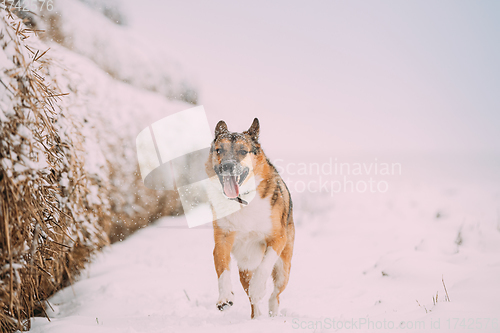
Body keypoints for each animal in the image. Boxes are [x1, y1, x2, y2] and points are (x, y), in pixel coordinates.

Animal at [205, 118, 294, 318]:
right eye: (219, 150)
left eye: (243, 151)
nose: (227, 166)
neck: (242, 201)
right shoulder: (222, 239)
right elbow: (222, 268)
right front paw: (224, 298)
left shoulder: (277, 238)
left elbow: (265, 265)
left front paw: (258, 288)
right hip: (245, 269)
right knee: (253, 302)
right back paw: (257, 318)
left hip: (283, 268)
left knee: (275, 294)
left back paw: (272, 313)